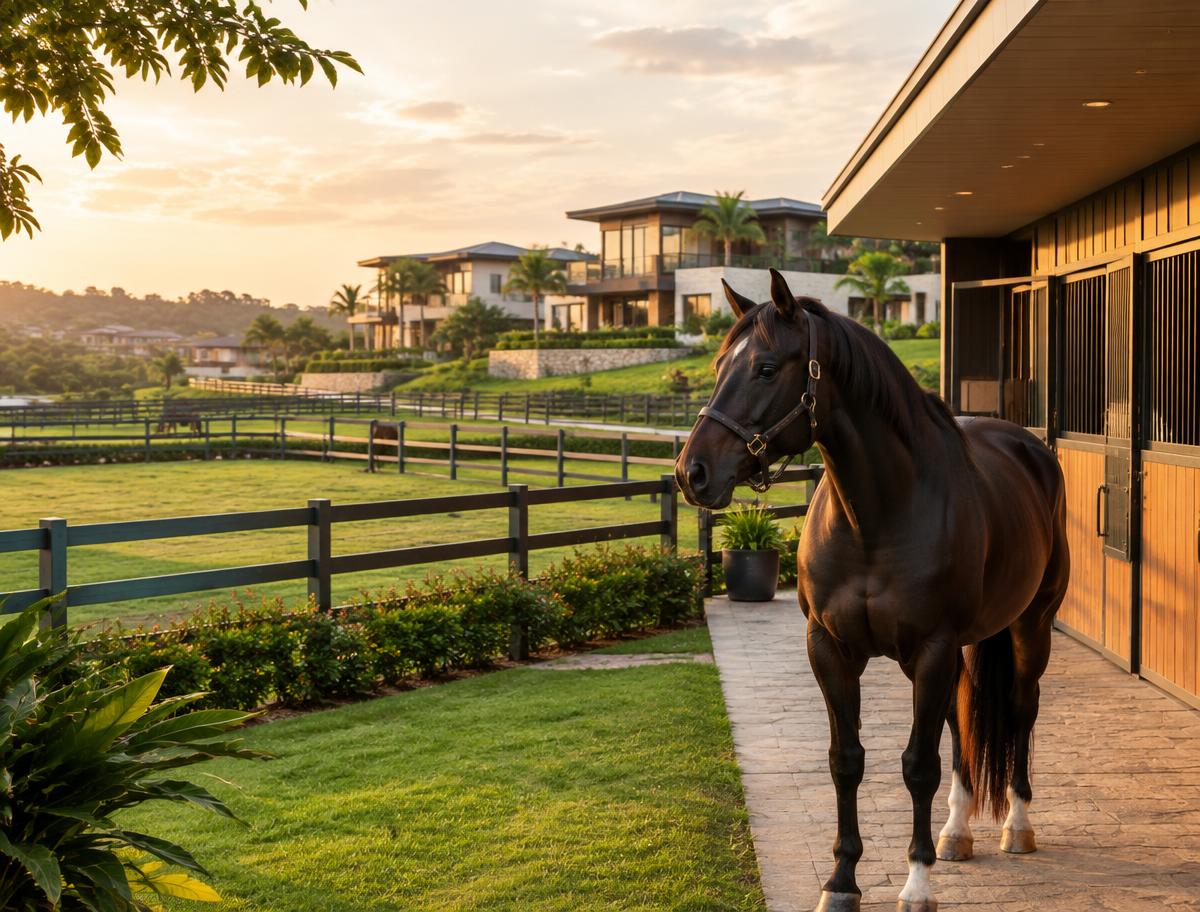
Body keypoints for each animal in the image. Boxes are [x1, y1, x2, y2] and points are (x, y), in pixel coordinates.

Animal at [675, 270, 1069, 912]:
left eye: (765, 368)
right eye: (717, 366)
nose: (693, 473)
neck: (877, 517)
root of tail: (1030, 447)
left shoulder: (931, 650)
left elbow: (917, 765)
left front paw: (917, 882)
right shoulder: (831, 650)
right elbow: (847, 761)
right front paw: (840, 881)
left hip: (1030, 628)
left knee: (1019, 711)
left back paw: (1017, 825)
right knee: (962, 720)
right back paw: (957, 832)